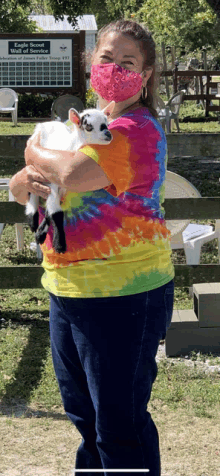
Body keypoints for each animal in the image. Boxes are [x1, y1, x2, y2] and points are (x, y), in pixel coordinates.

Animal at [25, 101, 115, 253]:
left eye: (107, 123)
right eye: (88, 126)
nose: (108, 134)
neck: (72, 147)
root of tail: (45, 123)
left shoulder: (64, 188)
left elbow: (50, 211)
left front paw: (41, 234)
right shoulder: (54, 183)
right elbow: (56, 213)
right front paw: (59, 244)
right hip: (33, 163)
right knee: (31, 188)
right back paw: (32, 218)